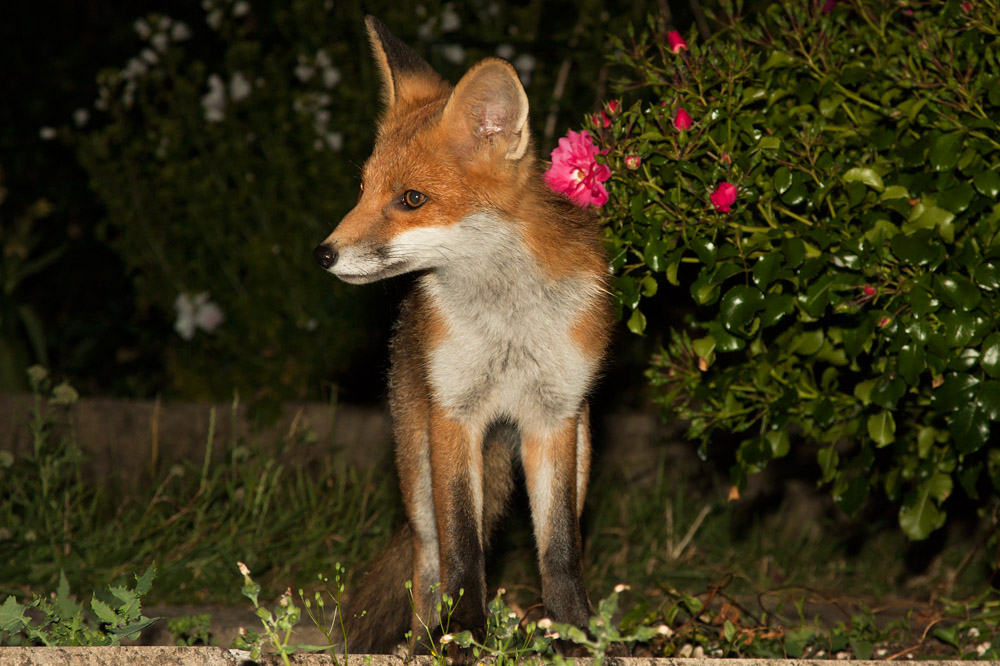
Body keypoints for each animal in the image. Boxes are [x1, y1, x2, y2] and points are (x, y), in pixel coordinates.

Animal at [312, 16, 612, 654]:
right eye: (363, 189)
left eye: (412, 199)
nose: (323, 254)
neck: (508, 323)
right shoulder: (453, 413)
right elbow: (464, 547)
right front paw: (462, 634)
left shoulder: (553, 417)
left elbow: (559, 550)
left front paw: (575, 632)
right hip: (416, 466)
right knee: (428, 559)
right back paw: (424, 636)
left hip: (582, 446)